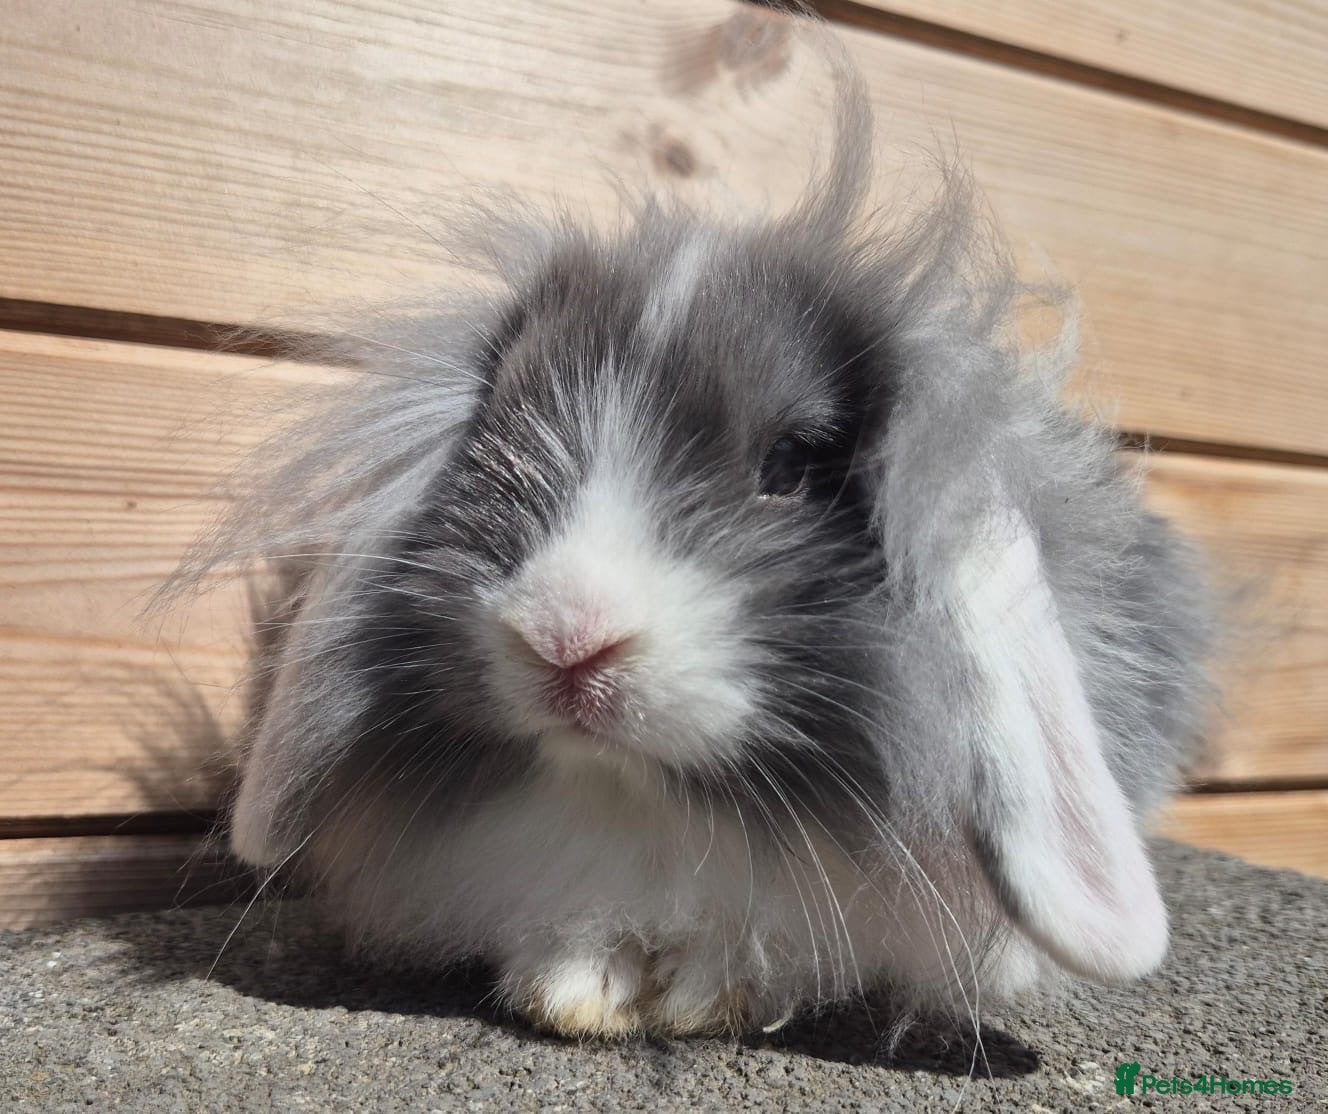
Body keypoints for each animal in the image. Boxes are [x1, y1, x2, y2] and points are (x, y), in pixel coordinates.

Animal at [187, 35, 1217, 1040]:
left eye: (794, 462)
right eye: (491, 440)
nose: (565, 637)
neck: (640, 804)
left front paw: (699, 993)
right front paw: (579, 987)